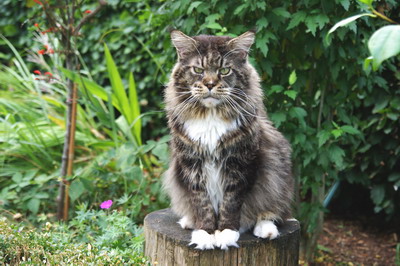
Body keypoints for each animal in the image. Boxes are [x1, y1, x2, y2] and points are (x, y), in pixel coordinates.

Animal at [162, 29, 294, 249]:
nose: (209, 84)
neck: (210, 116)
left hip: (278, 173)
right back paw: (189, 221)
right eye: (198, 69)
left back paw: (266, 230)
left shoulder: (240, 163)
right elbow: (202, 203)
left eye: (224, 70)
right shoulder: (191, 163)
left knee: (273, 212)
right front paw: (205, 233)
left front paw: (226, 233)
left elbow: (231, 203)